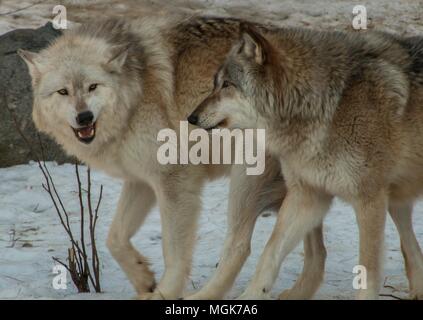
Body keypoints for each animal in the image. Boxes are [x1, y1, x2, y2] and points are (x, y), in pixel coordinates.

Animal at [17, 15, 324, 300]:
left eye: (93, 87)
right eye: (63, 92)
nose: (84, 117)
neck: (136, 92)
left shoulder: (175, 180)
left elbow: (173, 253)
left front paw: (164, 293)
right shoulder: (141, 181)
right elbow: (114, 238)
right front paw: (144, 280)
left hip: (246, 181)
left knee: (240, 247)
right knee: (318, 254)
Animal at [190, 23, 423, 300]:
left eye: (227, 84)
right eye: (215, 84)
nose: (191, 118)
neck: (327, 106)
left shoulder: (369, 200)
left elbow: (368, 273)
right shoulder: (308, 195)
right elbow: (270, 253)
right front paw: (250, 296)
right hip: (395, 201)